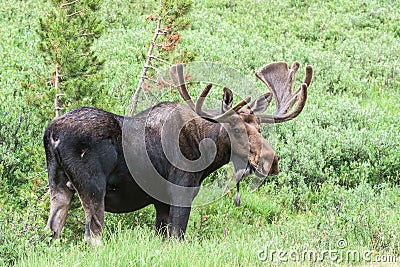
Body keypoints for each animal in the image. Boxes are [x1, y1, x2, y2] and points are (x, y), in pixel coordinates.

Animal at [43, 61, 312, 244]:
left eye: (259, 127)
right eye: (236, 128)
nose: (271, 161)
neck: (205, 150)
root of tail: (52, 133)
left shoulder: (161, 202)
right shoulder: (181, 191)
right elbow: (178, 237)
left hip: (59, 186)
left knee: (52, 231)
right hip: (93, 187)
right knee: (93, 235)